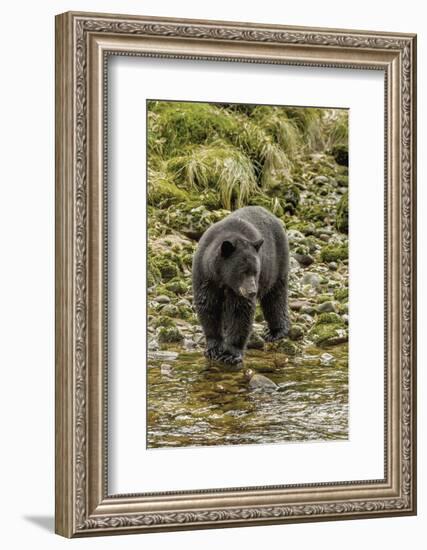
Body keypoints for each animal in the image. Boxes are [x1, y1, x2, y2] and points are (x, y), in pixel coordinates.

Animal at [193, 205, 290, 364]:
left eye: (255, 271)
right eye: (242, 272)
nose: (252, 292)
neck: (223, 278)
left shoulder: (239, 289)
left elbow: (240, 311)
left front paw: (230, 354)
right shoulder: (205, 275)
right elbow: (208, 305)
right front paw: (213, 348)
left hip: (277, 263)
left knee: (275, 297)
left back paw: (275, 331)